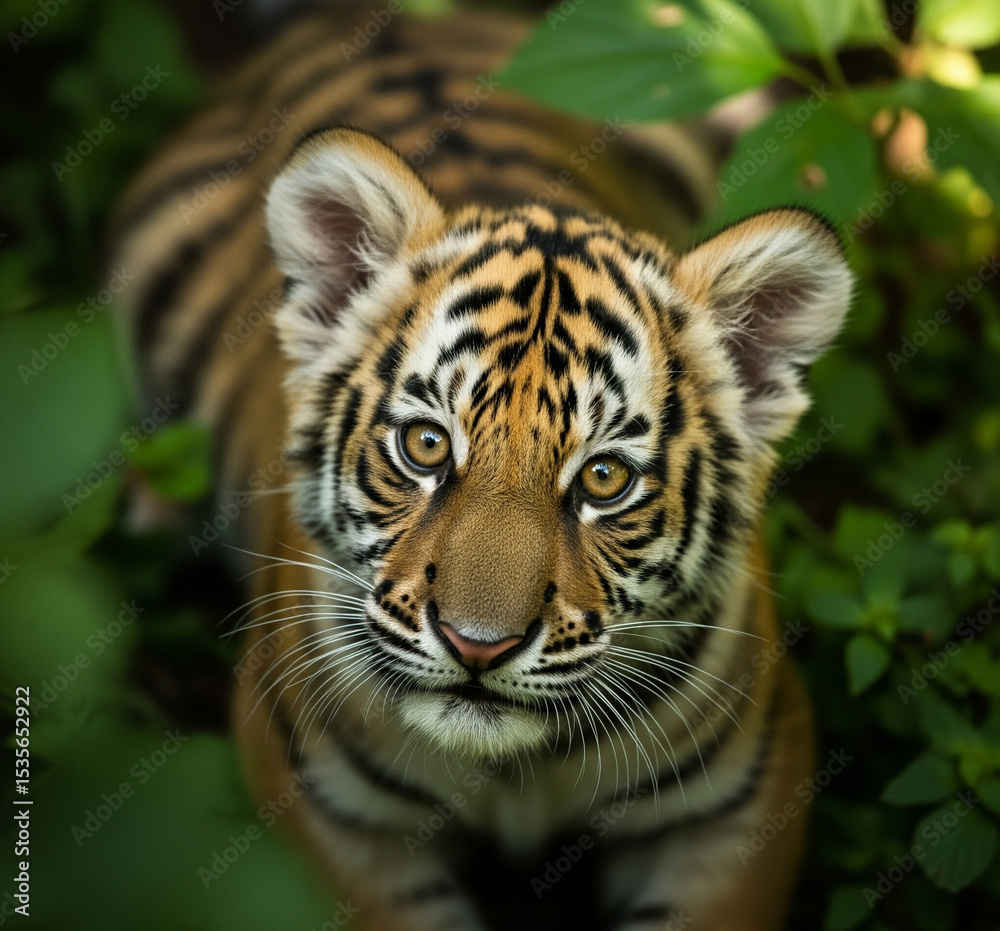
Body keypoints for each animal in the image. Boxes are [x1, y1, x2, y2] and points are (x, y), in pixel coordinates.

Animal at [111, 4, 852, 930]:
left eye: (604, 479)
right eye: (426, 446)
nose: (477, 645)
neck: (515, 772)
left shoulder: (744, 800)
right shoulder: (321, 803)